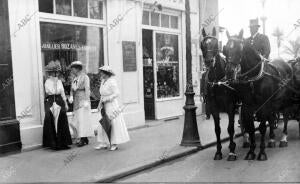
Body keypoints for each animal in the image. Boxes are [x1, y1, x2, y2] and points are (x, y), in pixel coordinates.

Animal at [200, 27, 238, 161]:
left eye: (216, 44)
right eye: (202, 44)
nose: (208, 61)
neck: (218, 81)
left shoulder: (231, 106)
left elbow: (230, 128)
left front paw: (231, 151)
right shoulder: (213, 107)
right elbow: (217, 129)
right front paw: (218, 151)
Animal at [224, 29, 294, 160]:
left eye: (240, 49)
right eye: (225, 49)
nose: (229, 72)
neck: (254, 78)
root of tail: (287, 64)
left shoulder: (264, 105)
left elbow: (261, 127)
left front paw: (261, 152)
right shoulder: (247, 106)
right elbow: (250, 128)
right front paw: (251, 151)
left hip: (285, 100)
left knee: (286, 116)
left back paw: (283, 138)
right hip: (274, 102)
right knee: (272, 118)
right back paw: (271, 140)